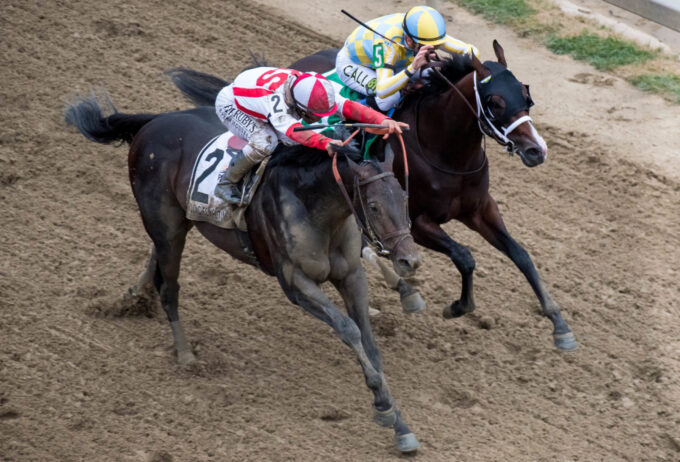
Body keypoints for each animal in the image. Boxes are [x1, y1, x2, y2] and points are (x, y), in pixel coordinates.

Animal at [66, 95, 422, 452]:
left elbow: (370, 343)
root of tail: (155, 121)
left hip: (180, 221)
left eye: (405, 199)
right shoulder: (295, 282)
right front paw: (382, 406)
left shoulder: (351, 276)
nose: (410, 260)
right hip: (164, 223)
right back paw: (185, 355)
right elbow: (349, 329)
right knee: (169, 286)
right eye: (374, 206)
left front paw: (399, 424)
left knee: (156, 257)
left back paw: (135, 297)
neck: (314, 204)